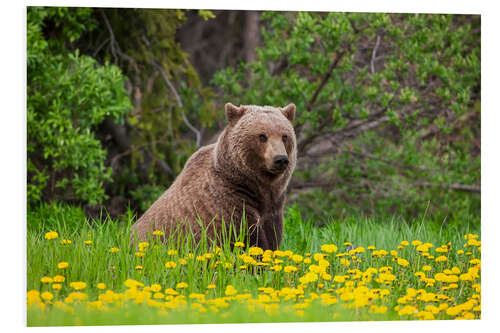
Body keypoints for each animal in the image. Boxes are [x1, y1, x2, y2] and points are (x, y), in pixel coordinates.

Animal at [130, 102, 296, 249]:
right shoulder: (229, 202)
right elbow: (249, 239)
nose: (280, 159)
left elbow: (271, 238)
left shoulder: (273, 208)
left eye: (285, 136)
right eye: (262, 136)